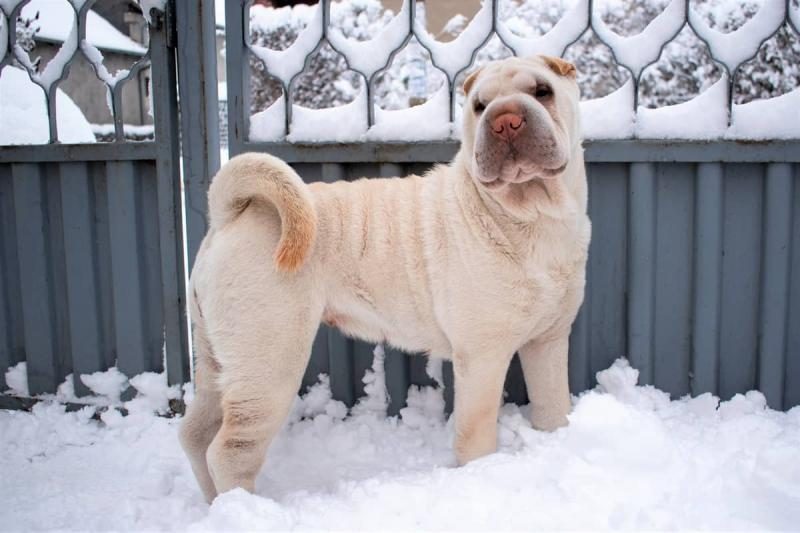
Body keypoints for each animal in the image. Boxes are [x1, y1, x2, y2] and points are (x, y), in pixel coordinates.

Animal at [183, 55, 592, 502]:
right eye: (479, 107)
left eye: (542, 91)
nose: (505, 120)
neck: (532, 215)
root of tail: (231, 214)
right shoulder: (483, 357)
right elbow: (477, 434)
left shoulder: (548, 342)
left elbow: (553, 408)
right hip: (269, 362)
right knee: (231, 451)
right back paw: (245, 506)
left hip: (217, 358)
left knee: (196, 433)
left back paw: (211, 503)